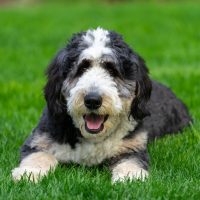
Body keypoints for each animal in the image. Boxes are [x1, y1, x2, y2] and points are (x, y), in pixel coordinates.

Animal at [11, 27, 191, 183]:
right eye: (82, 68)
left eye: (112, 70)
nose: (92, 100)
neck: (92, 139)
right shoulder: (39, 140)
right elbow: (37, 156)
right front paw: (28, 174)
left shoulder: (133, 148)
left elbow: (131, 163)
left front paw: (130, 179)